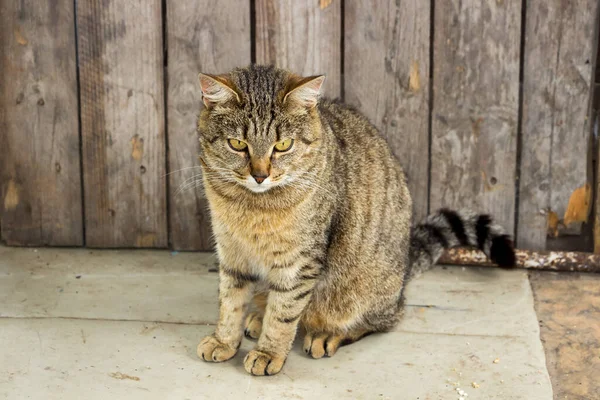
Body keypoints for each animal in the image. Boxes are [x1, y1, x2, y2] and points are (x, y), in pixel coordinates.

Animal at [195, 64, 512, 376]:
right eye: (237, 144)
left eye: (283, 145)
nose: (260, 175)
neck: (250, 205)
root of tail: (405, 269)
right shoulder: (231, 253)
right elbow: (230, 303)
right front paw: (224, 340)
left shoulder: (300, 262)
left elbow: (284, 313)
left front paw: (269, 352)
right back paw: (259, 315)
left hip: (363, 292)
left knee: (383, 320)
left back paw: (327, 334)